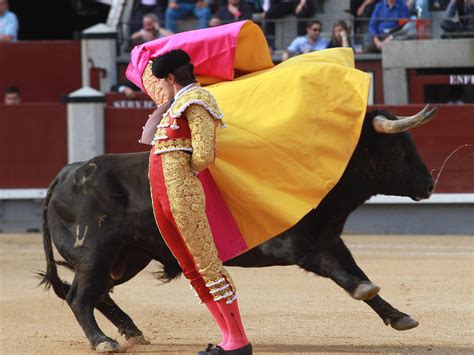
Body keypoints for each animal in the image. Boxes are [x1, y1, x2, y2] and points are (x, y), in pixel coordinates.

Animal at [39, 104, 436, 352]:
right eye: (397, 151)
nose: (429, 185)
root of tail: (67, 172)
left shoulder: (329, 238)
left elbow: (353, 269)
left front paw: (399, 317)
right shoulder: (294, 245)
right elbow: (341, 273)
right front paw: (366, 292)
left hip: (127, 257)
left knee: (98, 294)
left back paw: (132, 333)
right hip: (96, 252)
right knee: (80, 297)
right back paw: (102, 341)